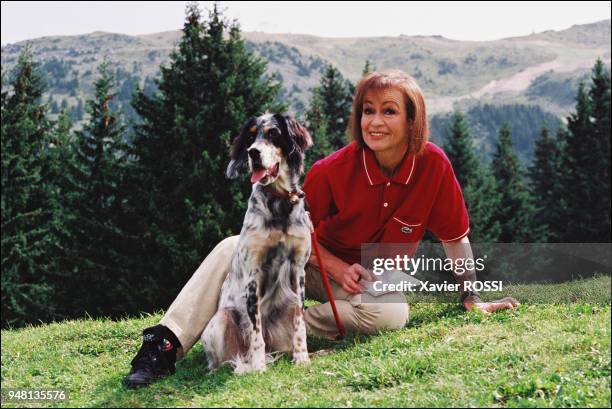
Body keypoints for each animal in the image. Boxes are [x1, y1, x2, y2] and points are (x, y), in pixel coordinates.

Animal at [202, 111, 314, 372]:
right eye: (250, 138)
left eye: (273, 133)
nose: (253, 152)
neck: (280, 203)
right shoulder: (253, 274)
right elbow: (255, 330)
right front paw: (259, 366)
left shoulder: (298, 269)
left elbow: (299, 321)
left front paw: (302, 357)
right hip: (220, 321)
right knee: (222, 360)